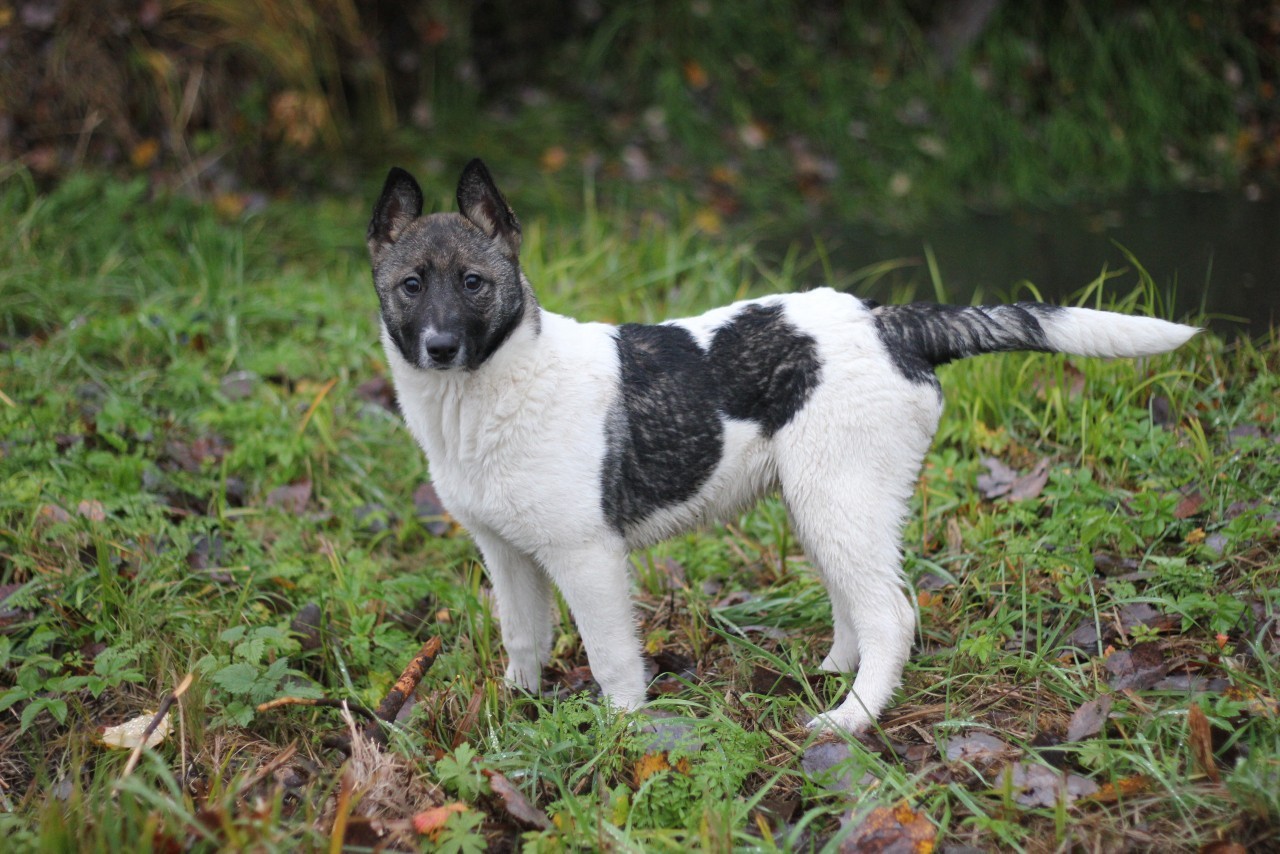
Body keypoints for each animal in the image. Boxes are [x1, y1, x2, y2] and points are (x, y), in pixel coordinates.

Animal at [363, 161, 1198, 737]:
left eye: (475, 282)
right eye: (411, 286)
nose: (439, 347)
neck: (490, 389)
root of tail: (891, 322)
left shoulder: (587, 557)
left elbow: (611, 658)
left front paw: (621, 737)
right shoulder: (505, 553)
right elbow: (524, 637)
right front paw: (515, 711)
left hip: (839, 498)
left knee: (892, 613)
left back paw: (851, 719)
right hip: (825, 502)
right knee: (857, 602)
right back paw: (833, 672)